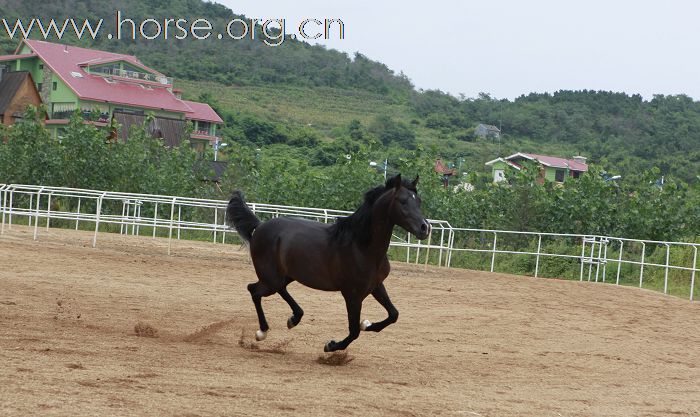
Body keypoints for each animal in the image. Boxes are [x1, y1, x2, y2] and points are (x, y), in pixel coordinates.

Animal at [227, 175, 430, 352]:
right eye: (402, 201)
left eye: (418, 201)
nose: (425, 228)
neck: (362, 247)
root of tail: (260, 226)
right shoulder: (352, 295)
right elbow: (354, 331)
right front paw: (331, 346)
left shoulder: (376, 286)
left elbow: (393, 315)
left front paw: (367, 324)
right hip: (271, 278)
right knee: (254, 290)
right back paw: (263, 331)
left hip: (286, 275)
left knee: (271, 289)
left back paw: (294, 318)